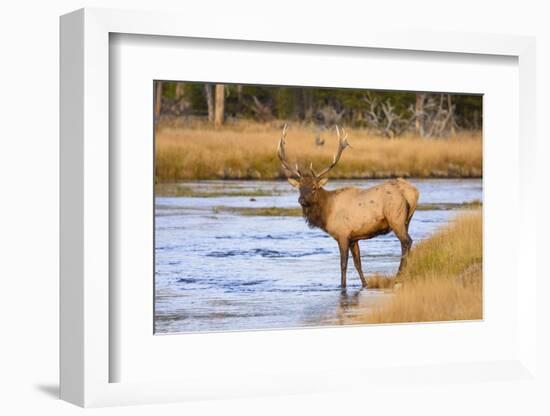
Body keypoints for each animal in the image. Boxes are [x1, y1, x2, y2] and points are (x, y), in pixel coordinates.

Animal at [278, 125, 420, 290]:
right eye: (300, 188)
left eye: (313, 188)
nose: (301, 200)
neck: (327, 212)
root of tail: (413, 192)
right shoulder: (354, 238)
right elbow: (358, 263)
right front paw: (364, 284)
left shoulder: (343, 234)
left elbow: (343, 264)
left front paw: (342, 286)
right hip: (407, 219)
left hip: (395, 217)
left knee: (406, 242)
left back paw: (399, 275)